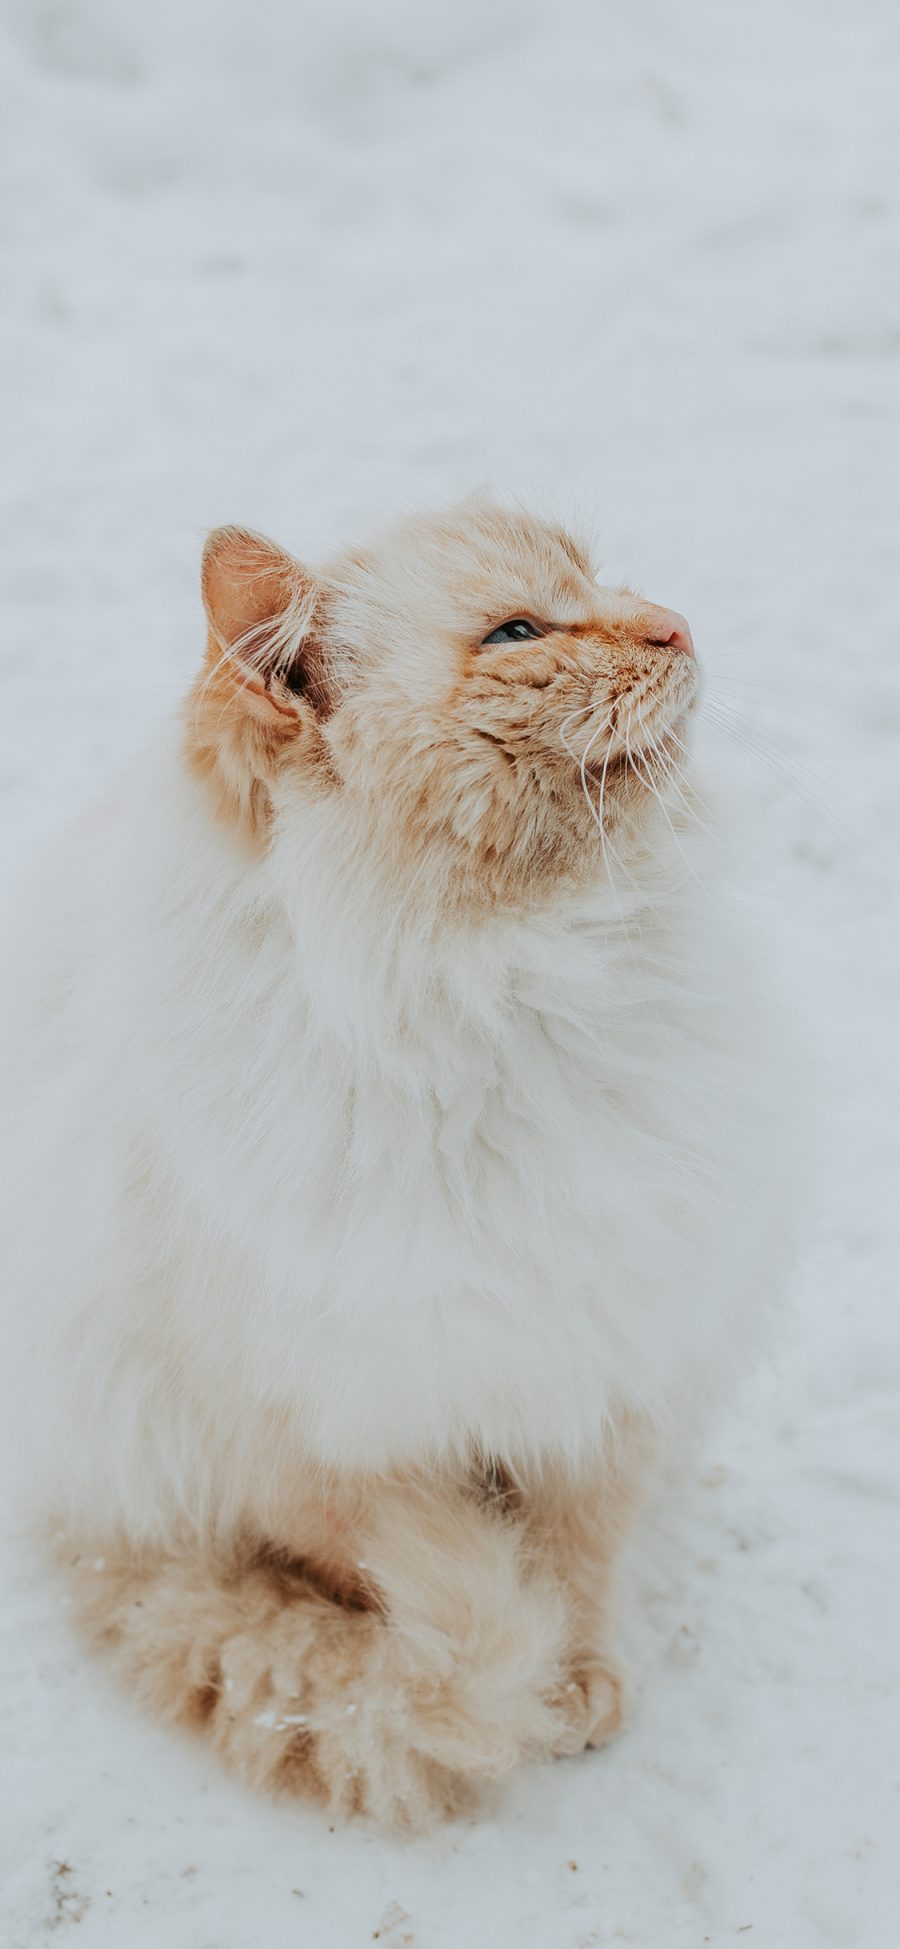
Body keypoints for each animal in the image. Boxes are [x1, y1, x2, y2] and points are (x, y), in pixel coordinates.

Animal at [0, 498, 787, 1824]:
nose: (676, 624)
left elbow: (574, 1558)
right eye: (519, 631)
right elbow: (400, 1563)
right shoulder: (304, 1428)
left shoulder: (603, 1364)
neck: (502, 991)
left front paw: (577, 1682)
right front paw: (522, 1688)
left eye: (602, 578)